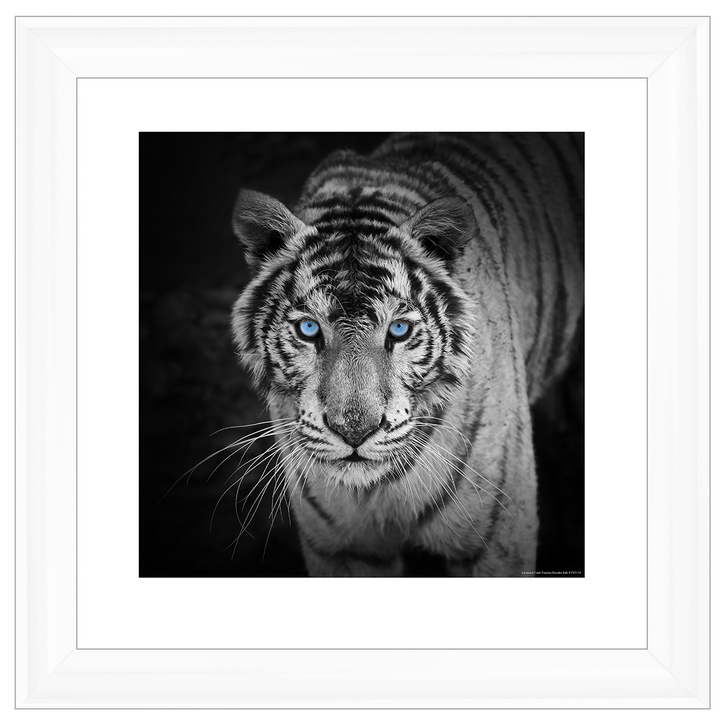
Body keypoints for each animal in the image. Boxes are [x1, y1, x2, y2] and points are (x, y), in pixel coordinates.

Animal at [229, 132, 583, 577]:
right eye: (309, 329)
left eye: (398, 330)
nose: (354, 432)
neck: (376, 490)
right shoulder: (342, 548)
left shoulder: (495, 539)